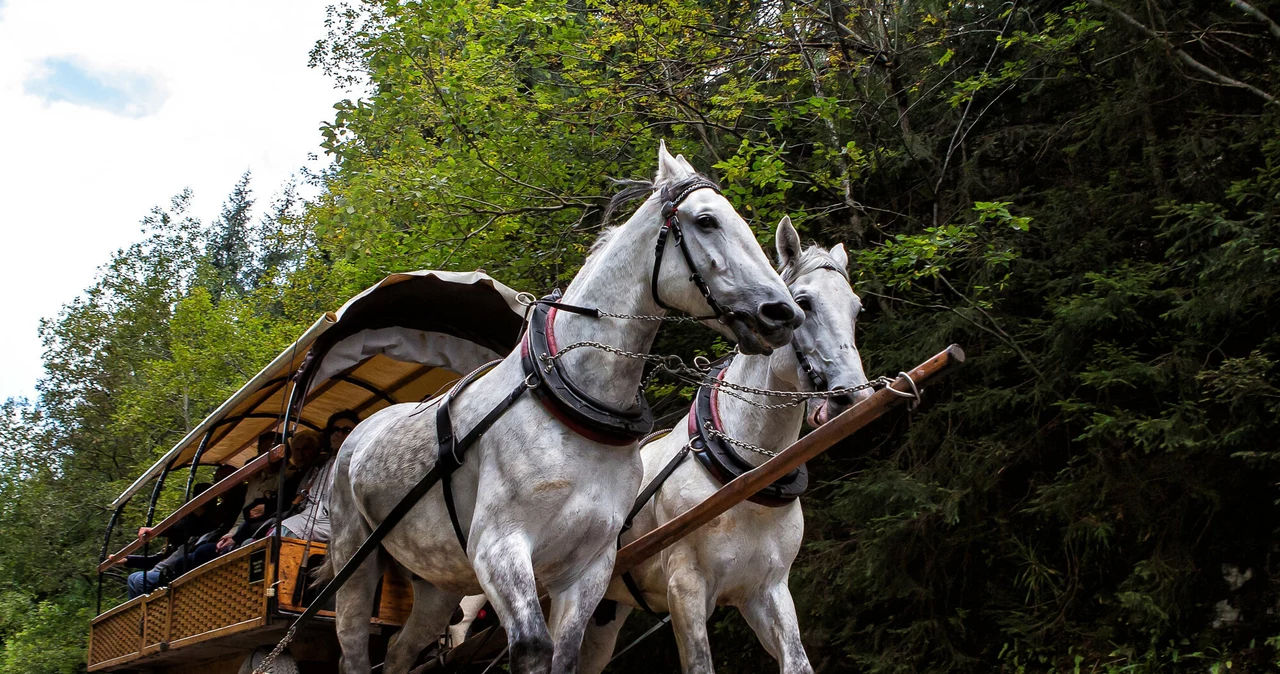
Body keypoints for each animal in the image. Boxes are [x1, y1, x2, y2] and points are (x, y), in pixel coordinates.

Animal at [317, 145, 798, 674]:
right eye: (706, 220)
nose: (783, 313)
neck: (575, 402)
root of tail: (358, 435)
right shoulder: (498, 548)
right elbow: (533, 647)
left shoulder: (588, 567)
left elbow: (564, 656)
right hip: (355, 560)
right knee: (352, 648)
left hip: (438, 581)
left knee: (402, 652)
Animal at [578, 226, 870, 674]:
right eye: (804, 303)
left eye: (856, 309)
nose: (853, 397)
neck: (745, 478)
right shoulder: (686, 589)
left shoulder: (767, 590)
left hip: (603, 612)